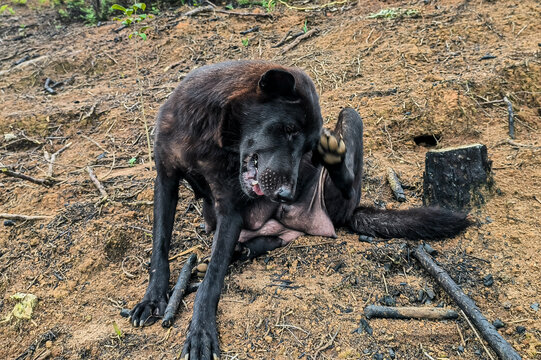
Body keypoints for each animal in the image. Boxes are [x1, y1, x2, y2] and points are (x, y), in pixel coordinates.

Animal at [127, 60, 468, 358]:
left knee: (349, 186)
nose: (286, 196)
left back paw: (335, 161)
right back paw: (245, 249)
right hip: (228, 221)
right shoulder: (165, 180)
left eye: (306, 146)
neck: (208, 130)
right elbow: (160, 247)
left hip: (351, 123)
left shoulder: (230, 208)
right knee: (266, 240)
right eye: (288, 129)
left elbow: (210, 282)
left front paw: (200, 332)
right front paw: (152, 299)